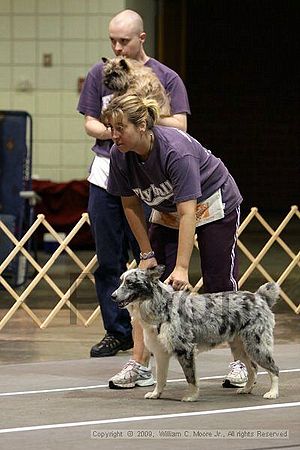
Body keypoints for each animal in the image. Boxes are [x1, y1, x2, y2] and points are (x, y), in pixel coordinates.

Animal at [111, 266, 280, 402]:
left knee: (274, 369)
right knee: (253, 369)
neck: (163, 307)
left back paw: (272, 393)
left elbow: (190, 377)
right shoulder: (160, 354)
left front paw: (191, 396)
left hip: (256, 346)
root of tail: (259, 297)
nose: (112, 296)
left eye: (130, 283)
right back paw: (246, 389)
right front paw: (156, 394)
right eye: (121, 281)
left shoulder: (185, 350)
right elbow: (160, 378)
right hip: (240, 348)